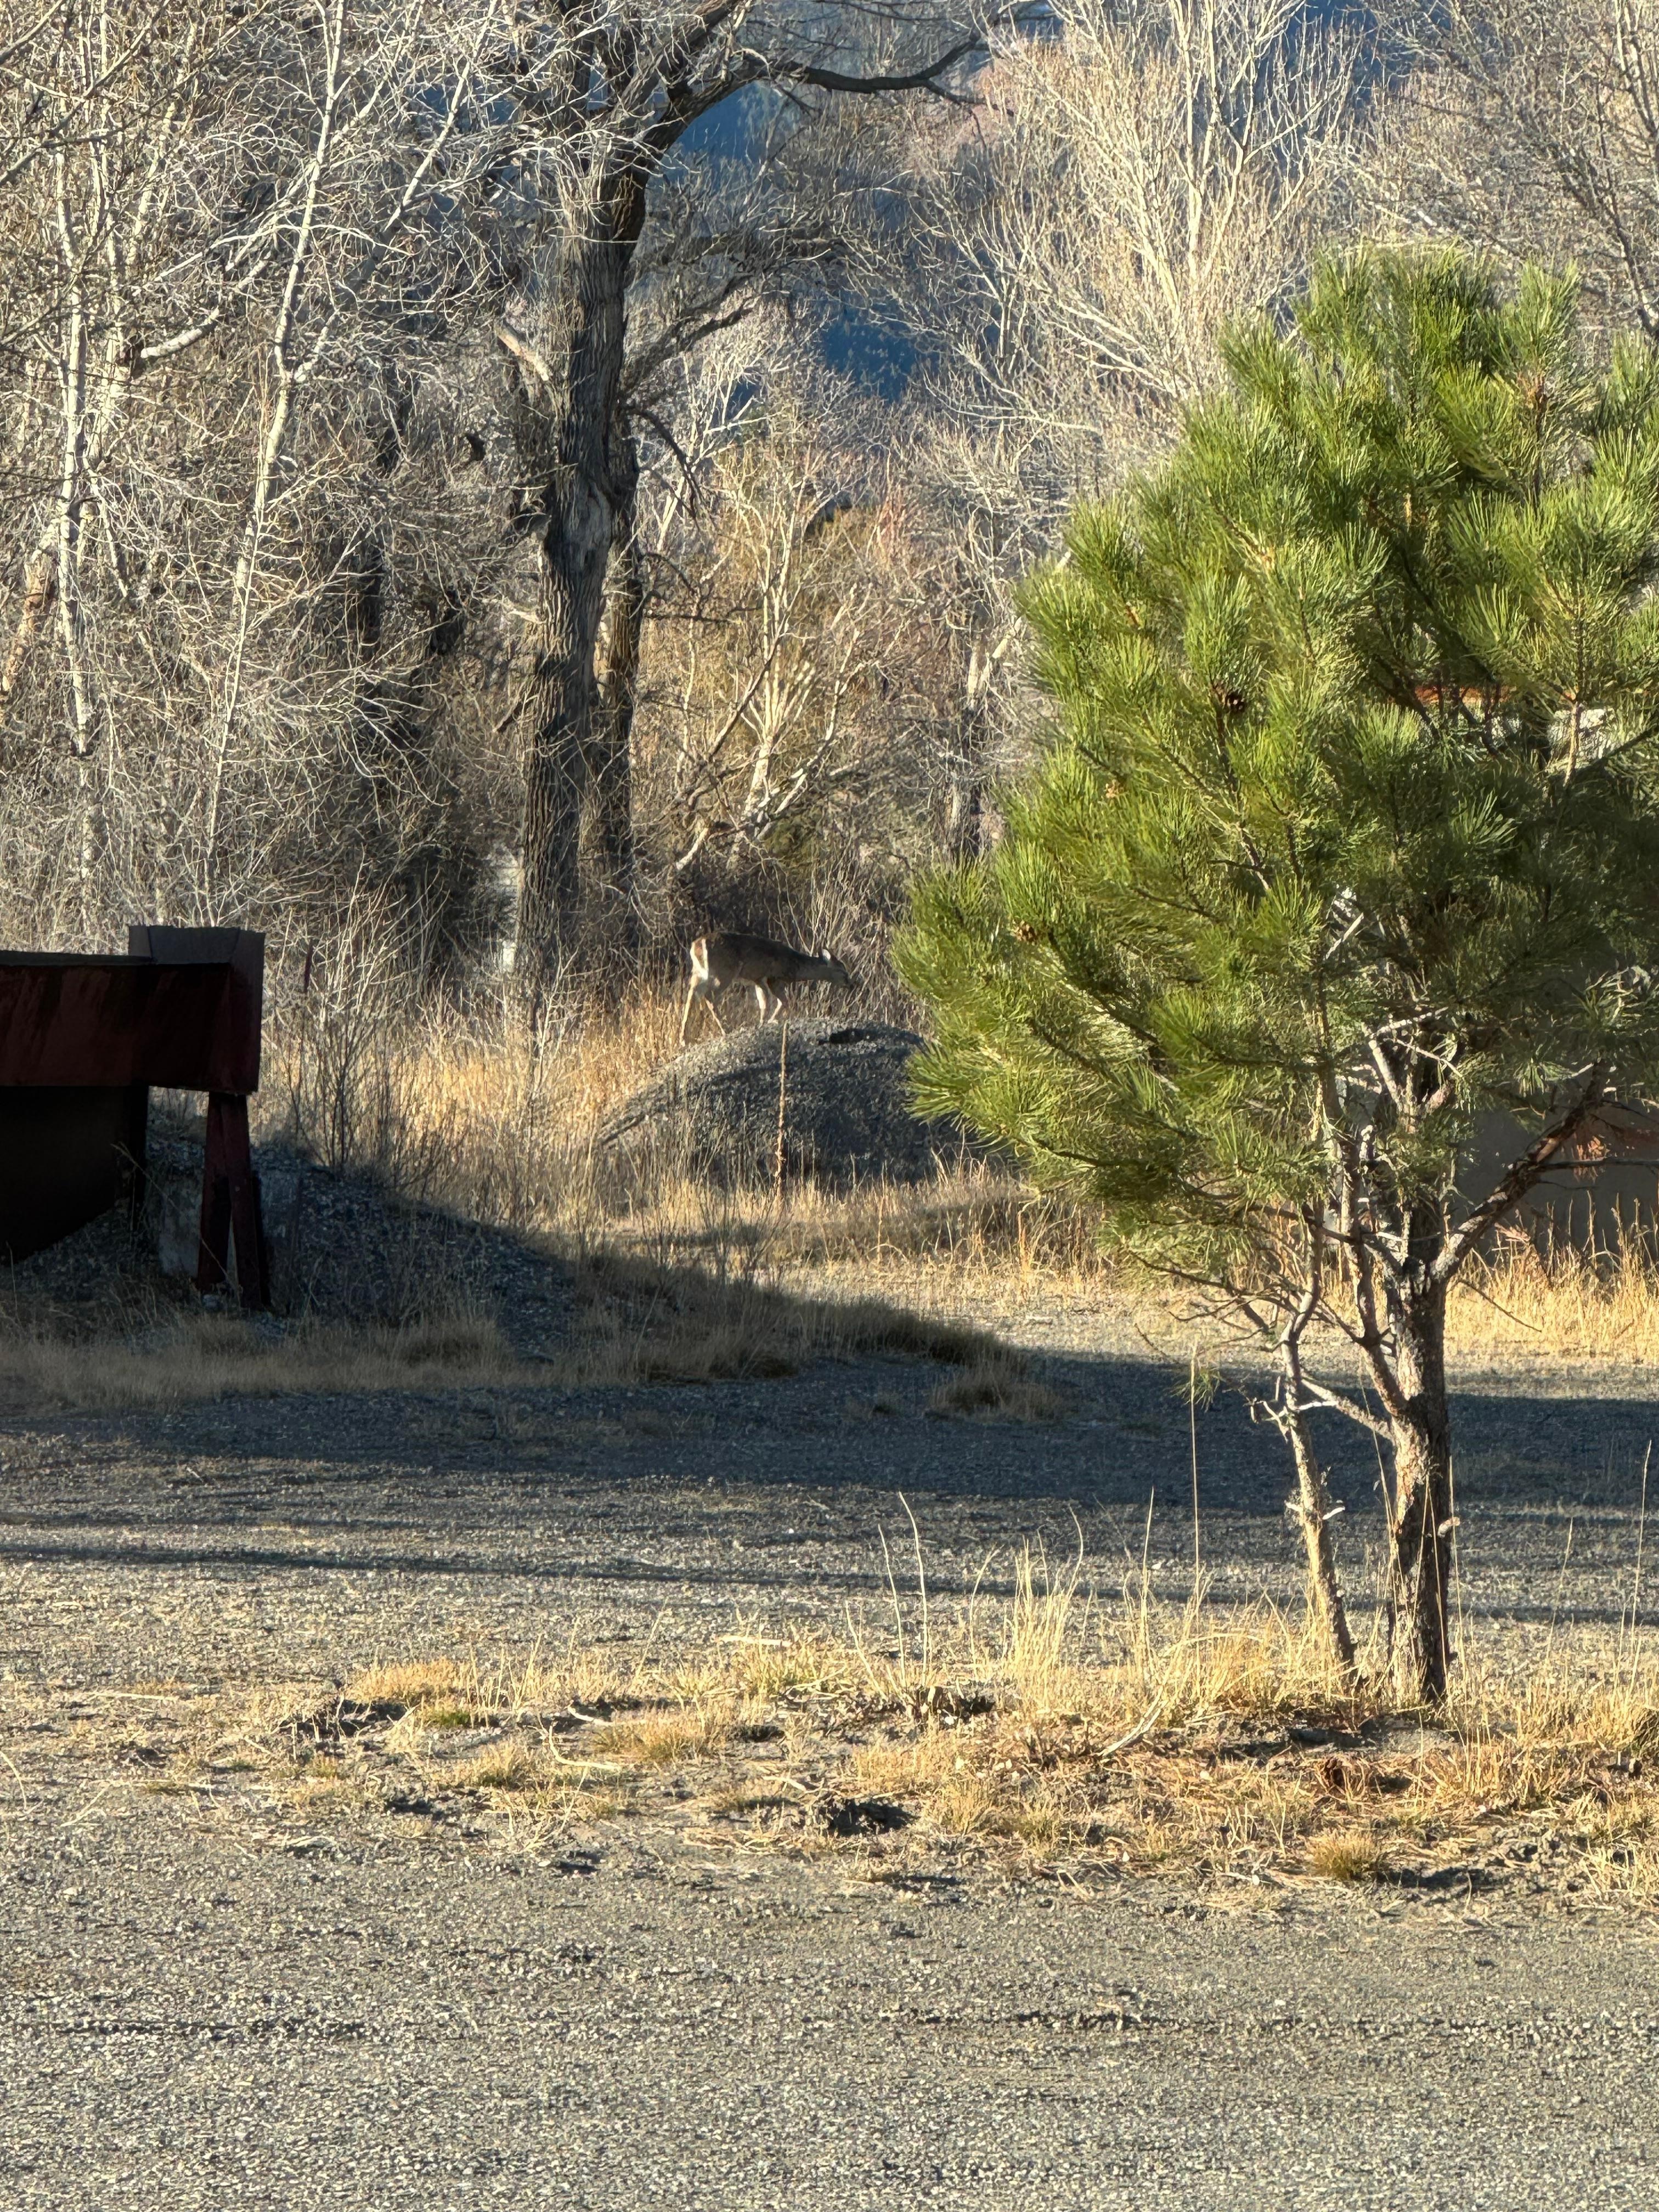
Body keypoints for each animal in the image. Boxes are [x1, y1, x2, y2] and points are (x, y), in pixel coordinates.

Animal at [680, 931, 853, 1044]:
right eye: (842, 971)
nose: (851, 984)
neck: (794, 966)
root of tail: (697, 946)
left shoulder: (759, 979)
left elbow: (765, 1002)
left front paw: (764, 1021)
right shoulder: (772, 978)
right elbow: (781, 1001)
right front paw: (769, 1021)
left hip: (699, 973)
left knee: (691, 996)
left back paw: (684, 1039)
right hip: (724, 972)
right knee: (709, 996)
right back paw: (726, 1029)